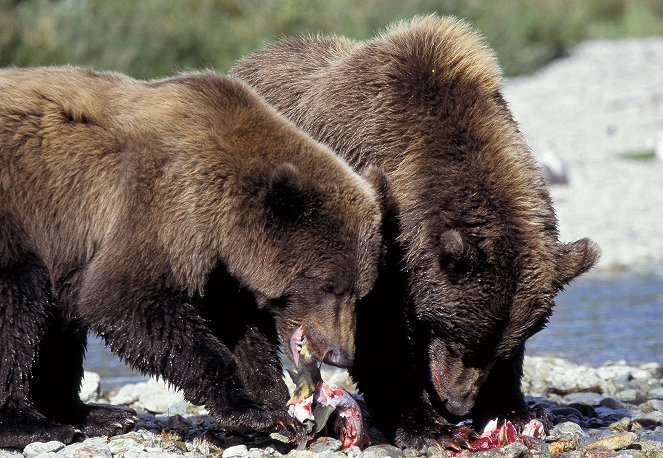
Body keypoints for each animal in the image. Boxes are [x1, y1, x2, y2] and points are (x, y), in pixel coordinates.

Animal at [0, 66, 384, 450]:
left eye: (360, 293)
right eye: (328, 286)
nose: (341, 354)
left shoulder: (218, 262)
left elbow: (237, 322)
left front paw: (273, 399)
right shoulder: (164, 206)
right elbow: (122, 299)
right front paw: (249, 408)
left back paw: (97, 415)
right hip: (21, 216)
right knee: (20, 306)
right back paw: (33, 424)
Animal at [233, 15, 600, 450]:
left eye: (493, 348)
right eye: (455, 336)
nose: (456, 405)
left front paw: (514, 409)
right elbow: (380, 333)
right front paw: (427, 426)